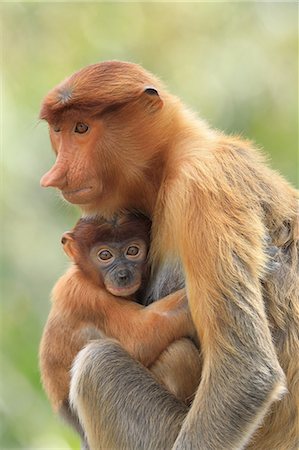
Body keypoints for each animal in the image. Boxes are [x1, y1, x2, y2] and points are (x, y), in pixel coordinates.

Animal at [40, 60, 299, 450]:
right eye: (58, 130)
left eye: (81, 128)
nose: (56, 175)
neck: (171, 157)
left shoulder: (201, 187)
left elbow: (246, 373)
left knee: (97, 366)